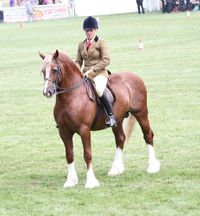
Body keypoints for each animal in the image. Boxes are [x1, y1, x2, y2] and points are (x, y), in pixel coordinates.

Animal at [39, 49, 160, 188]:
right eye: (43, 70)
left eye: (54, 69)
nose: (47, 92)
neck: (71, 97)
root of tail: (135, 77)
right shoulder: (64, 132)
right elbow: (69, 155)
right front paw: (71, 181)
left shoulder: (84, 130)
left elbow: (87, 154)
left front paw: (91, 182)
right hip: (118, 120)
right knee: (120, 139)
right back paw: (116, 169)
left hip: (141, 113)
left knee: (148, 135)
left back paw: (152, 167)